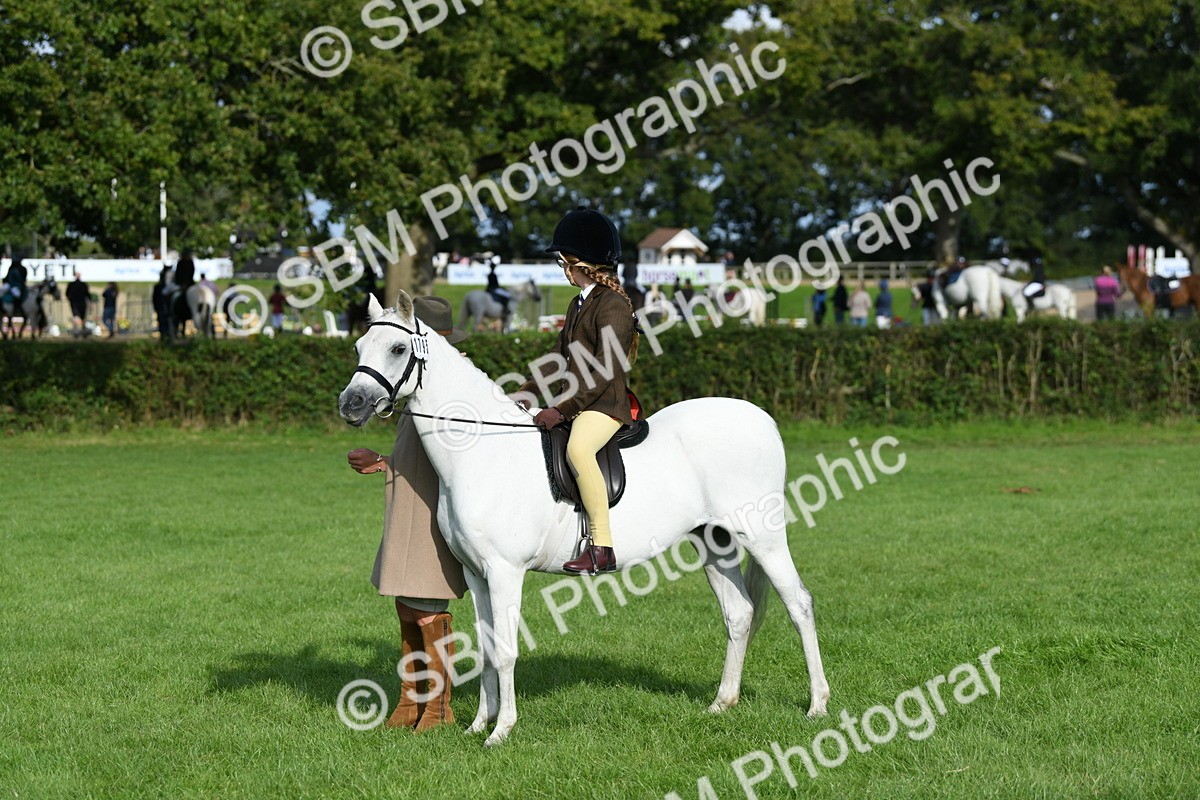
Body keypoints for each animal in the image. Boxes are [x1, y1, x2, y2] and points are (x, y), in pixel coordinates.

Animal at [338, 292, 830, 747]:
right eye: (360, 345)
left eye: (397, 349)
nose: (351, 403)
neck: (484, 451)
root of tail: (760, 418)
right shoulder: (476, 575)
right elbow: (486, 647)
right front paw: (478, 724)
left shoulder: (504, 572)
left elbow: (506, 650)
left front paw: (501, 731)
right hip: (714, 542)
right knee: (739, 614)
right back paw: (721, 703)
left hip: (763, 538)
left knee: (798, 605)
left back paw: (817, 706)